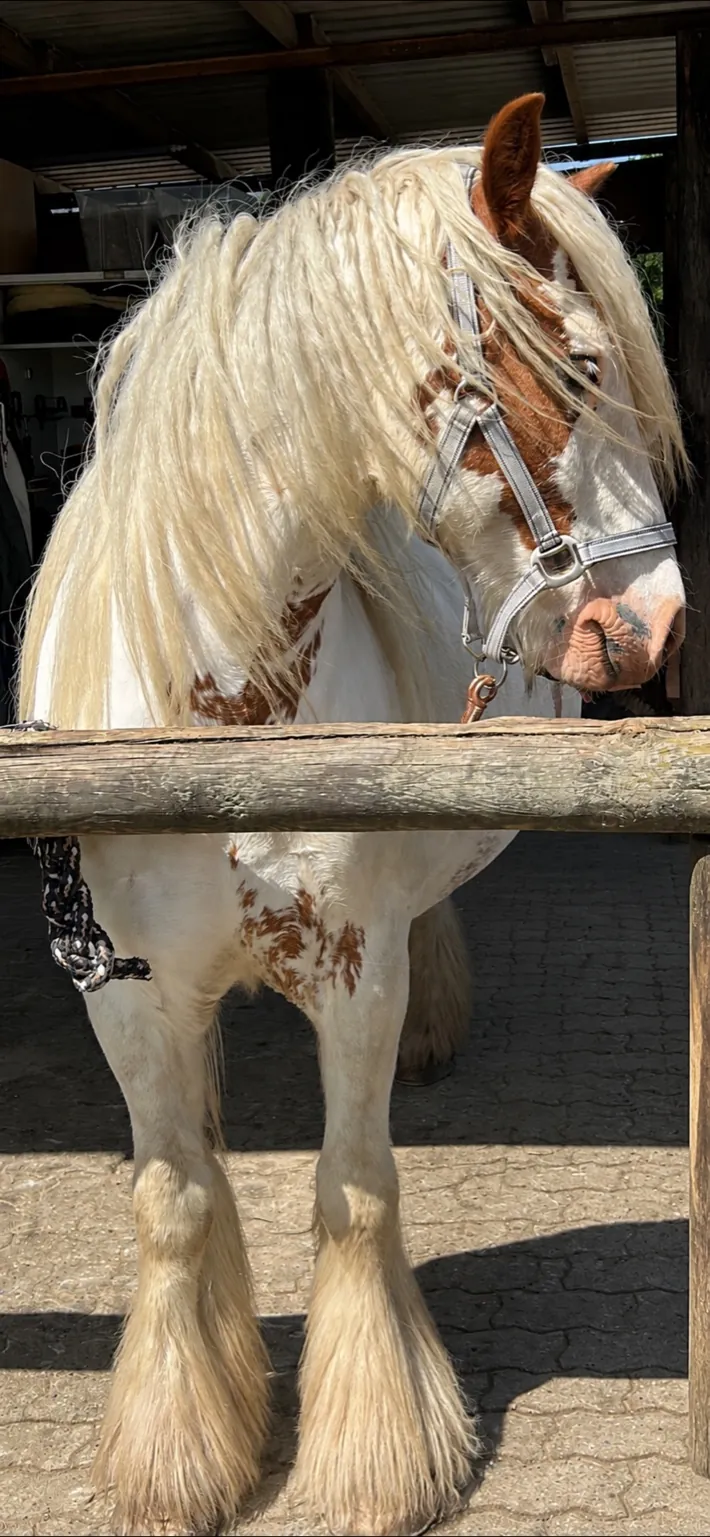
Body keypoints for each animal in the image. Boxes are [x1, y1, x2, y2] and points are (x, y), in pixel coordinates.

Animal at [19, 93, 686, 1536]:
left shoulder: (351, 968)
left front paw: (377, 1456)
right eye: (580, 366)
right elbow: (175, 1198)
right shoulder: (121, 989)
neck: (212, 712)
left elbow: (354, 1190)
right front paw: (181, 1453)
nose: (654, 629)